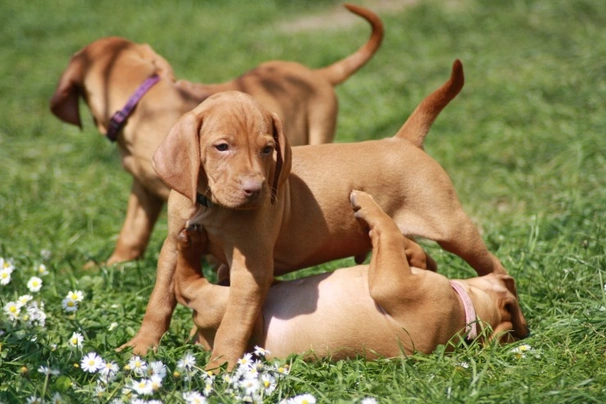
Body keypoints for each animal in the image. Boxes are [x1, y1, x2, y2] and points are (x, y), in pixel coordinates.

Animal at [175, 191, 528, 362]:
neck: (465, 312)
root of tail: (199, 340)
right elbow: (399, 243)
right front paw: (415, 251)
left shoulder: (392, 282)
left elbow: (387, 228)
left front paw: (367, 204)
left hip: (237, 309)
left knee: (187, 287)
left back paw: (190, 244)